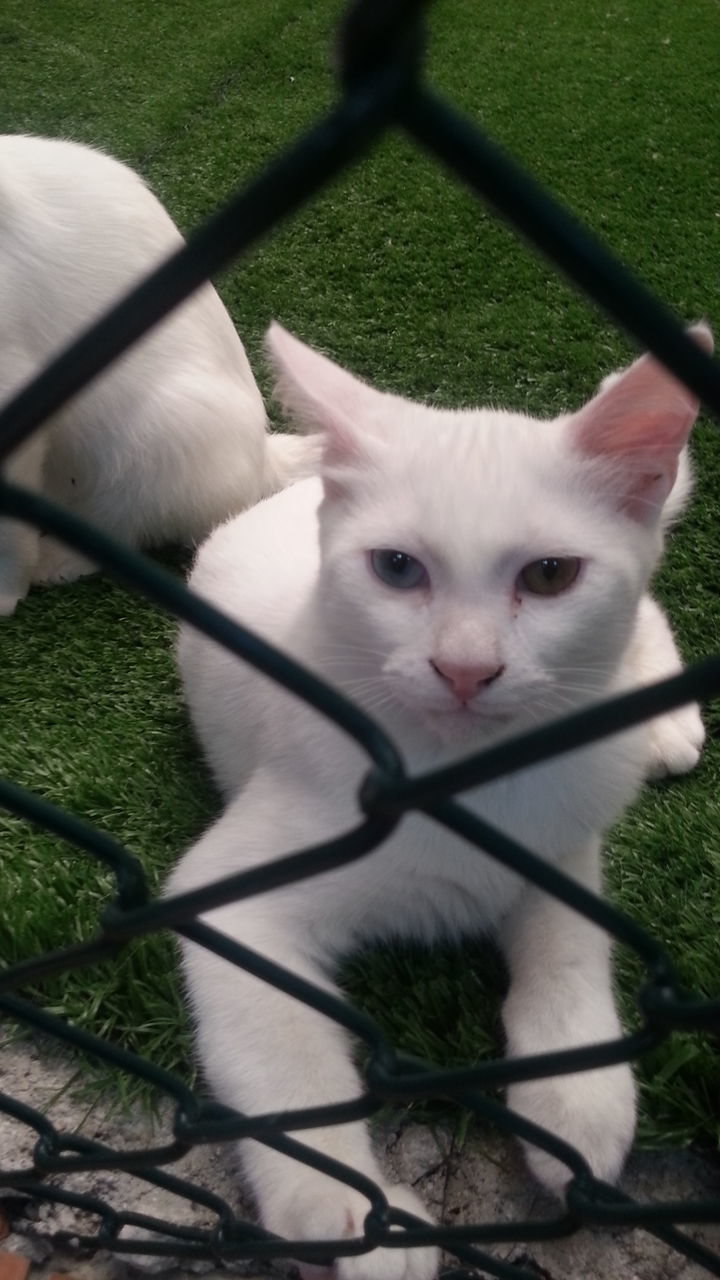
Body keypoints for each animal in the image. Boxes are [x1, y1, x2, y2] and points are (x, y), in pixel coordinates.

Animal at [0, 135, 319, 614]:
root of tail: (264, 455)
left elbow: (8, 531)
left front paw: (5, 590)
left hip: (159, 428)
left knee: (119, 527)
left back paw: (57, 558)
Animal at [166, 322, 707, 1280]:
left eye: (552, 575)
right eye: (396, 568)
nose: (465, 668)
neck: (465, 777)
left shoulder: (563, 838)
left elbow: (570, 946)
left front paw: (580, 1095)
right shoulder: (229, 899)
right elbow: (284, 1064)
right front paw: (351, 1213)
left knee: (646, 611)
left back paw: (668, 721)